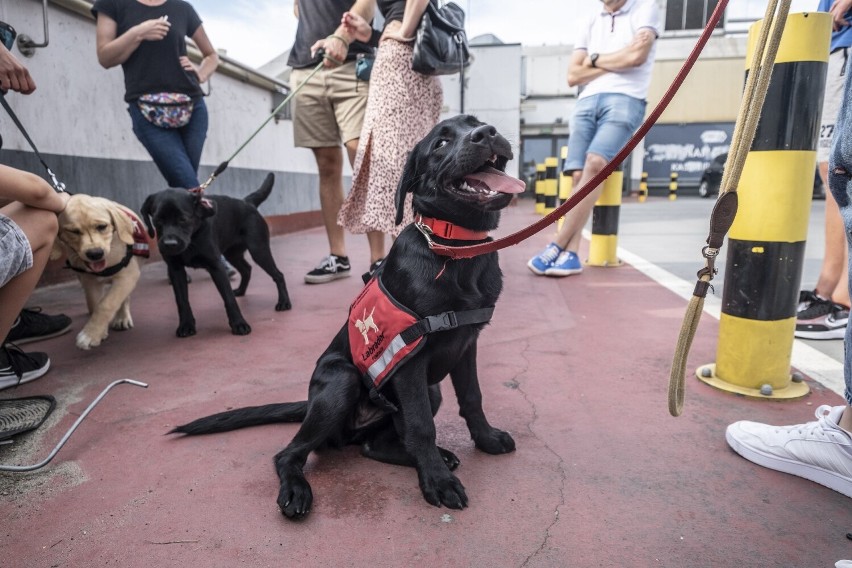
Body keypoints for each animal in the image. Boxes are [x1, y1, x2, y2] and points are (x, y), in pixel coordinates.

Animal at [51, 195, 149, 348]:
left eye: (102, 227)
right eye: (74, 231)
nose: (95, 254)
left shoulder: (128, 276)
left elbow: (106, 304)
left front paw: (90, 334)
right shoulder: (90, 281)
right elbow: (94, 304)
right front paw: (99, 331)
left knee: (124, 298)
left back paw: (122, 318)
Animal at [141, 173, 292, 338]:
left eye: (183, 219)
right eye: (157, 220)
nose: (170, 244)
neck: (193, 237)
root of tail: (247, 202)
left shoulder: (216, 266)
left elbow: (228, 298)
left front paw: (239, 324)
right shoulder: (176, 270)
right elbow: (182, 301)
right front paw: (186, 325)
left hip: (259, 250)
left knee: (278, 274)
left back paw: (284, 302)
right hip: (232, 254)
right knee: (247, 269)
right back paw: (241, 291)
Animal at [169, 116, 524, 520]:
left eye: (478, 124)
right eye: (441, 143)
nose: (487, 133)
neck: (455, 248)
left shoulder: (466, 344)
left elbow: (472, 398)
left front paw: (486, 440)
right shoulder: (411, 361)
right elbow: (422, 426)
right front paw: (437, 482)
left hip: (425, 391)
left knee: (374, 445)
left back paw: (433, 456)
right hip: (342, 381)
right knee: (288, 453)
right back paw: (297, 490)